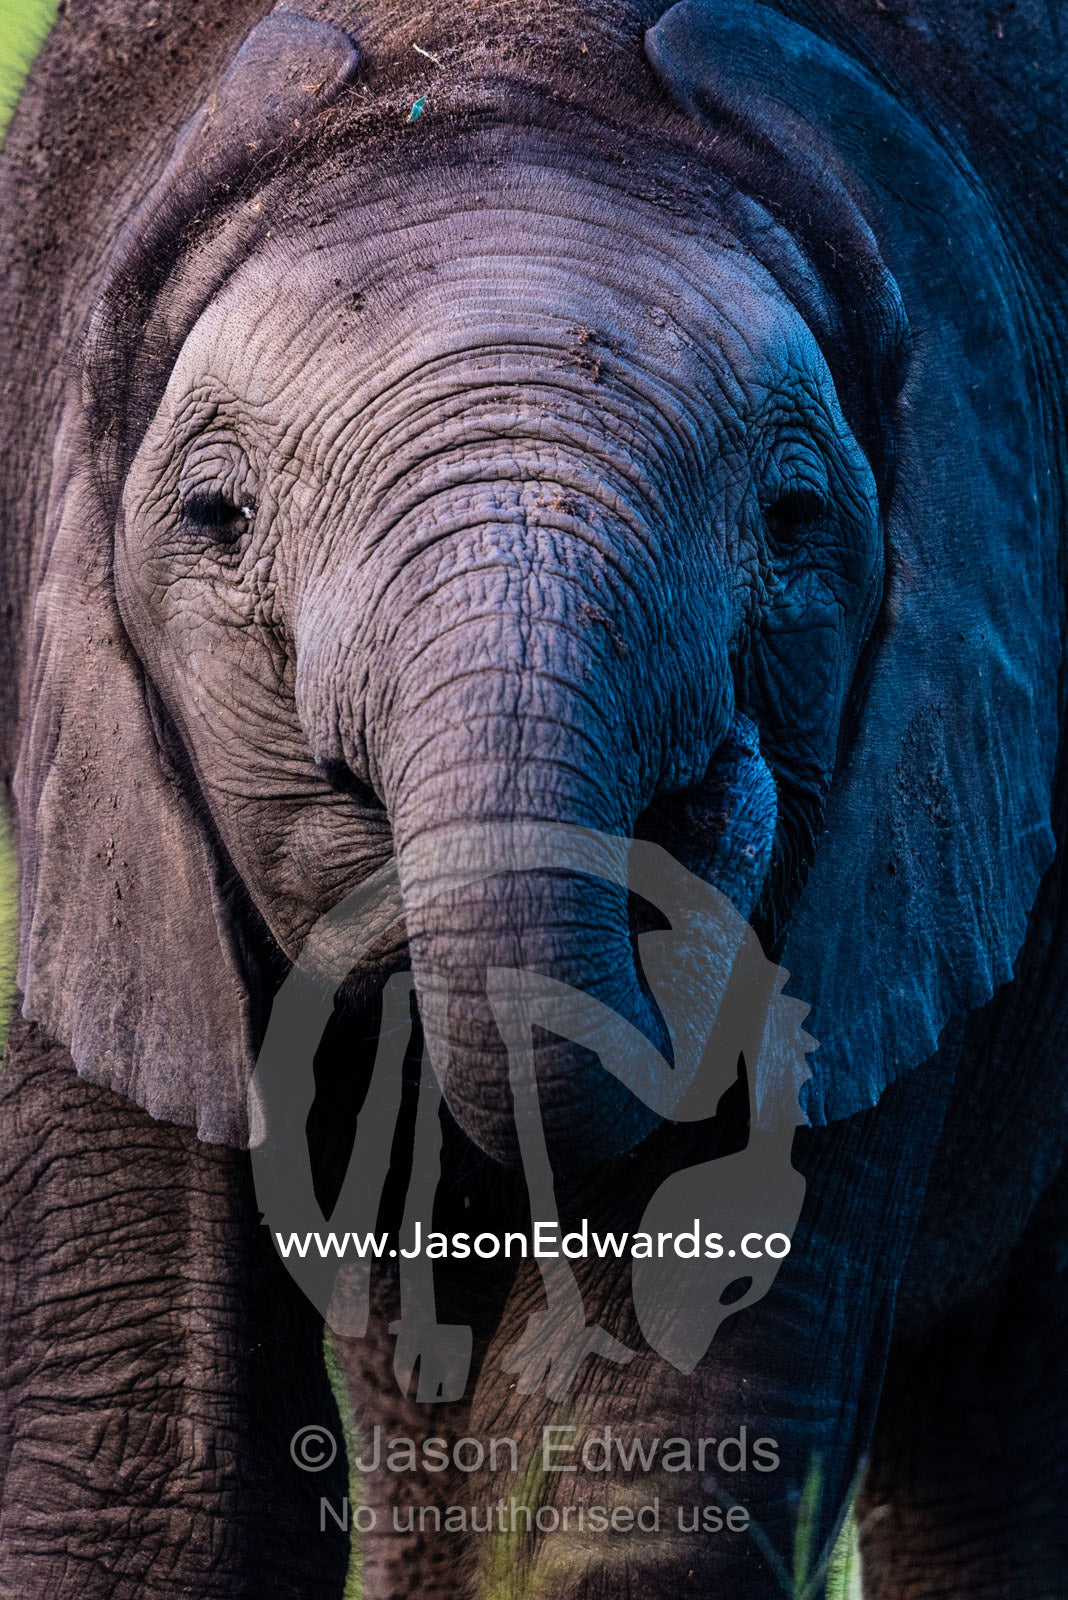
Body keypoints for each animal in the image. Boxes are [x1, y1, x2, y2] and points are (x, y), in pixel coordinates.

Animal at [1, 0, 1066, 1595]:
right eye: (218, 517)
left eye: (795, 519)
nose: (724, 779)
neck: (499, 49)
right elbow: (148, 1504)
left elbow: (640, 1485)